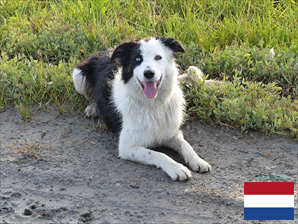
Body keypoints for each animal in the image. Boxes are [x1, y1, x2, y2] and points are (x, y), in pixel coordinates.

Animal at [73, 36, 211, 180]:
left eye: (158, 57)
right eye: (137, 59)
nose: (148, 73)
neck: (153, 104)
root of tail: (107, 51)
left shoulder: (172, 133)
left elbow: (186, 145)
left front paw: (198, 160)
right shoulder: (127, 147)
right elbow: (159, 154)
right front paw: (176, 168)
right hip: (78, 76)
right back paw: (93, 108)